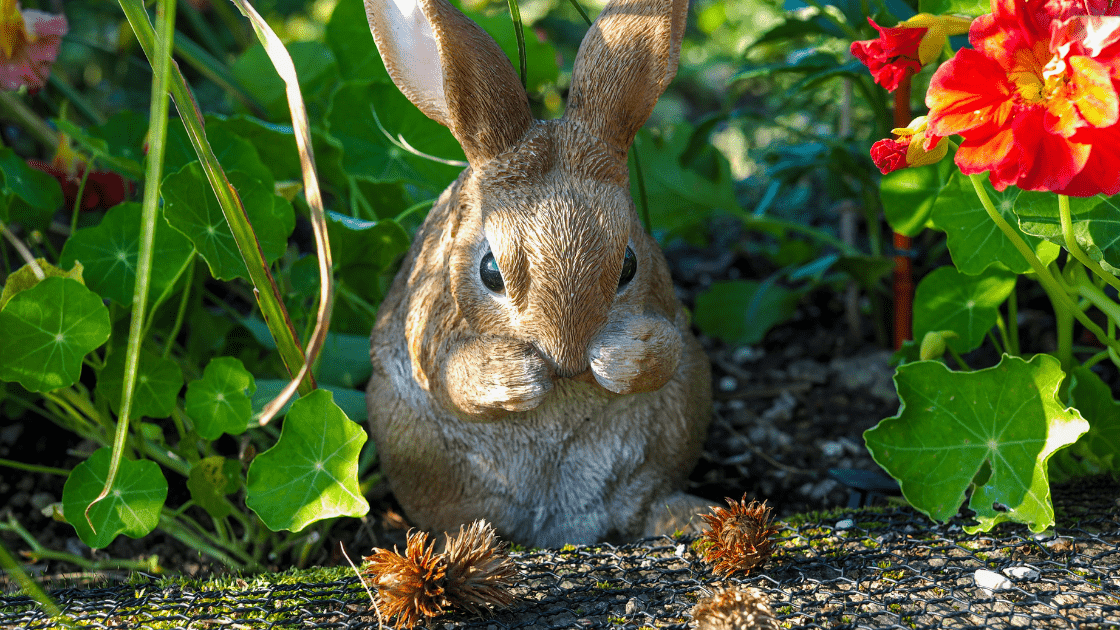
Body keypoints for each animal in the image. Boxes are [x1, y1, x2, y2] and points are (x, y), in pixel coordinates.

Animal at [360, 0, 707, 547]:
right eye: (490, 273)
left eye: (628, 265)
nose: (566, 360)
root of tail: (563, 523)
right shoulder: (433, 326)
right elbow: (453, 374)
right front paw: (519, 376)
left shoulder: (667, 308)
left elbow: (663, 350)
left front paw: (615, 356)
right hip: (415, 445)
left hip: (677, 420)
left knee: (642, 503)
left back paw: (686, 517)